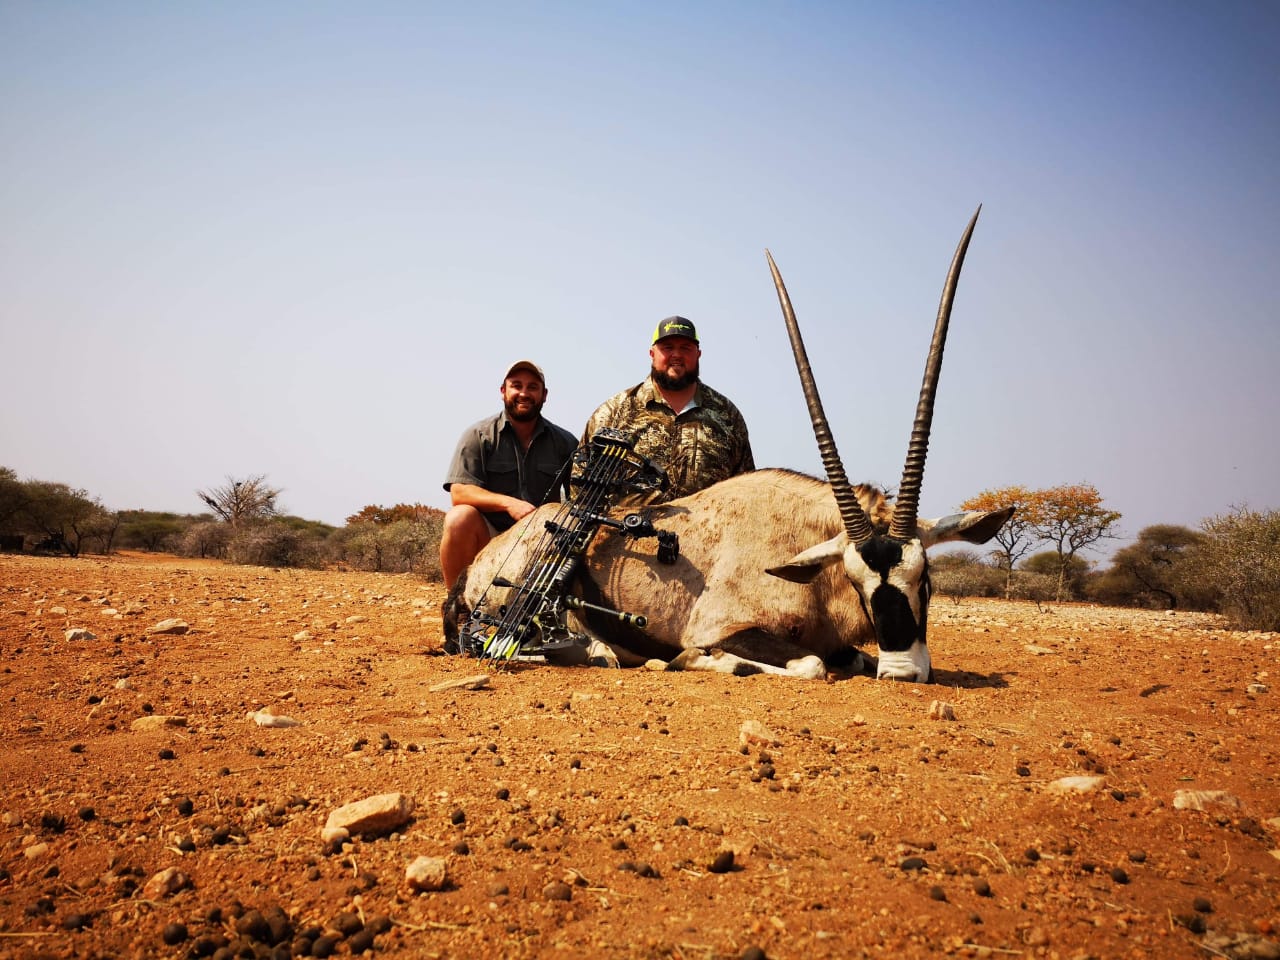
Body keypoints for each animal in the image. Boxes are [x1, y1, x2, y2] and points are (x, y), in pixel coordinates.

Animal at [443, 207, 1012, 682]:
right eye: (856, 580)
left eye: (926, 577)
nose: (903, 673)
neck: (801, 548)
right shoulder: (722, 627)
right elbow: (808, 665)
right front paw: (689, 660)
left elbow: (847, 658)